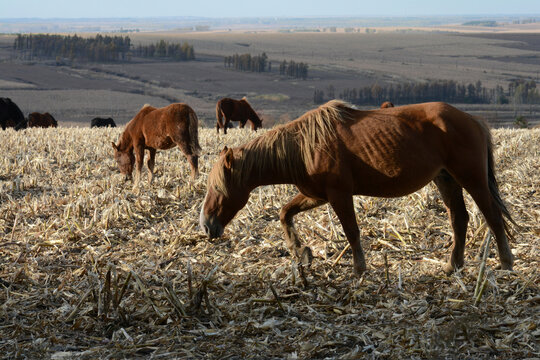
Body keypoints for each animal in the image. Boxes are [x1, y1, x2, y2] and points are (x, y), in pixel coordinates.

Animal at [199, 100, 516, 278]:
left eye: (219, 188)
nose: (205, 225)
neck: (302, 148)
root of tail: (473, 119)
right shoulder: (316, 195)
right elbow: (285, 213)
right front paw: (302, 252)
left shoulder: (339, 194)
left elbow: (351, 231)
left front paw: (359, 269)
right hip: (446, 179)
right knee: (459, 219)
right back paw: (453, 266)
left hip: (471, 179)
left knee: (491, 215)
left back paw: (506, 262)